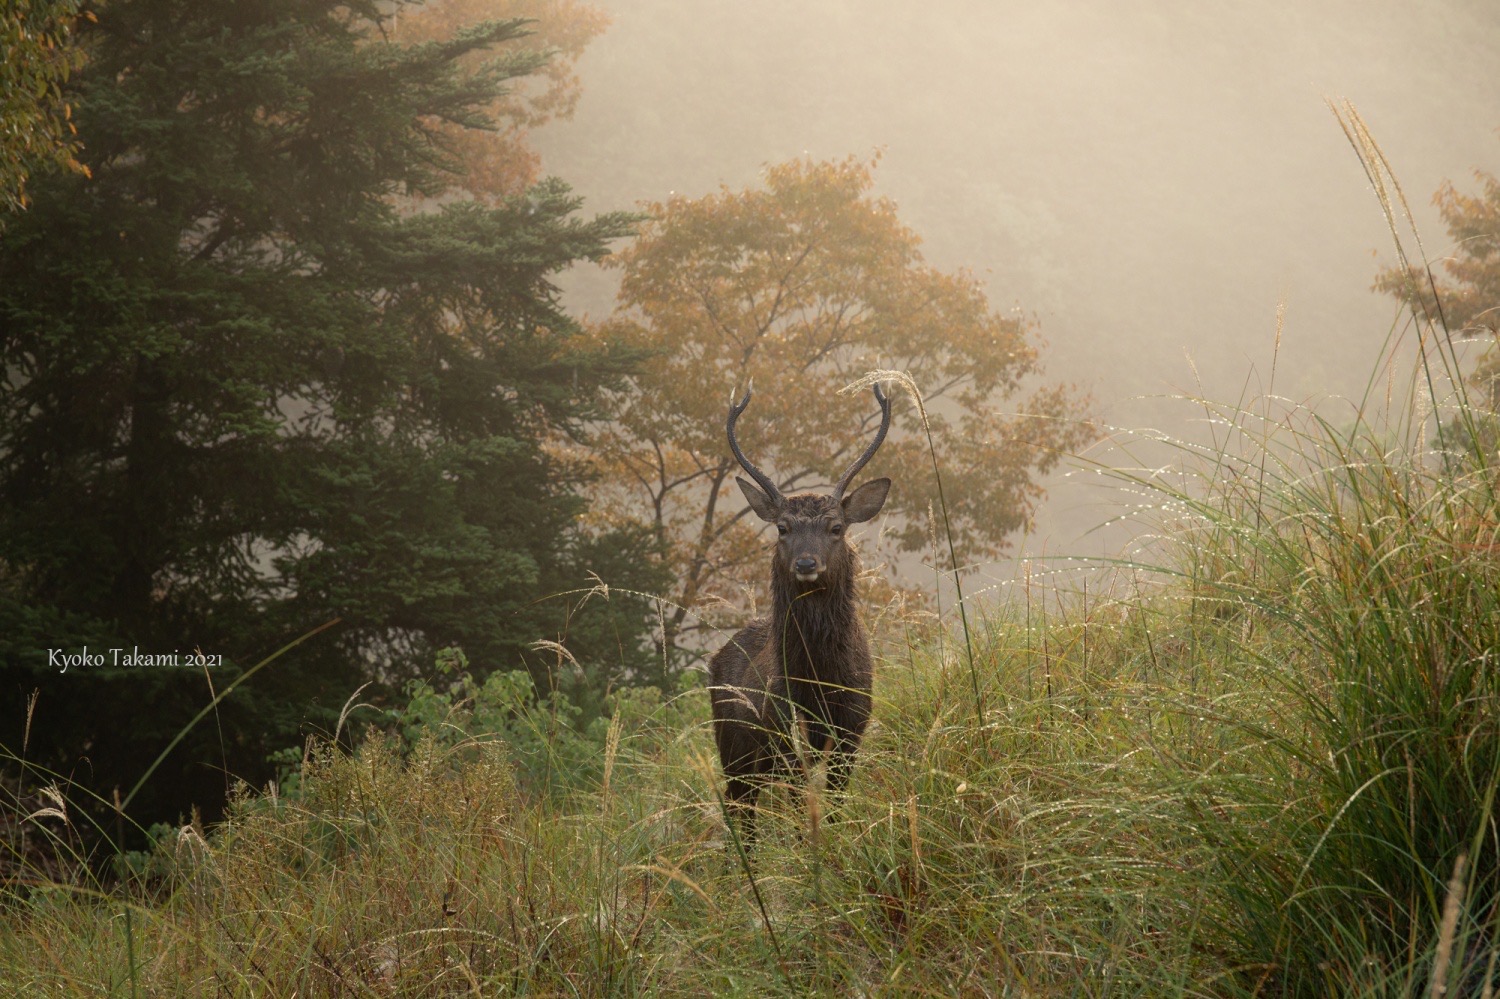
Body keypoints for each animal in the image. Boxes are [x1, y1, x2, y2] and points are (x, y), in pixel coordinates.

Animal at [702, 379, 888, 840]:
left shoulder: (853, 727)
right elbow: (801, 805)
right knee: (743, 811)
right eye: (782, 527)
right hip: (732, 748)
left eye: (836, 527)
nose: (806, 563)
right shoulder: (785, 731)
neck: (820, 680)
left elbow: (835, 803)